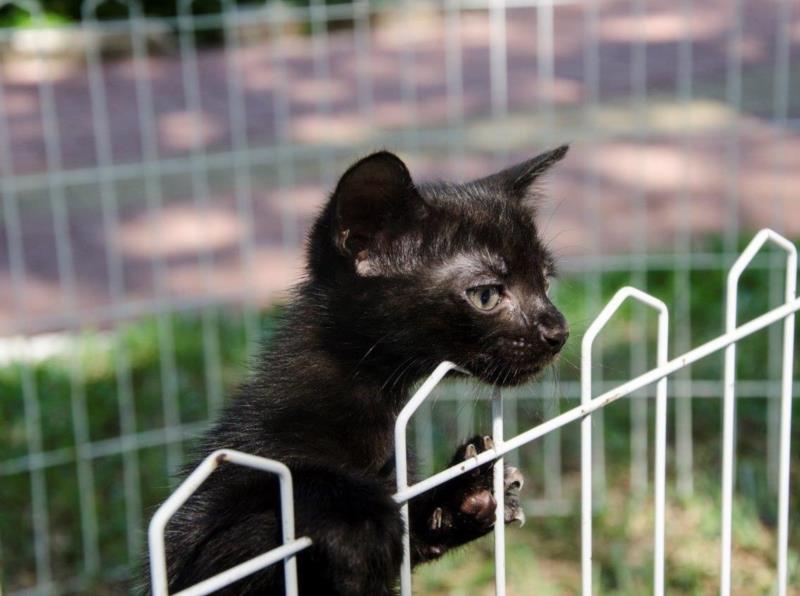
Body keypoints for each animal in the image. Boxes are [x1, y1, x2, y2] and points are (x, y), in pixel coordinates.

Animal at [148, 146, 568, 596]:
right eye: (486, 295)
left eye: (545, 282)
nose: (559, 330)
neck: (369, 404)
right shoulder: (199, 545)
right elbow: (283, 492)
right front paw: (357, 516)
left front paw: (465, 494)